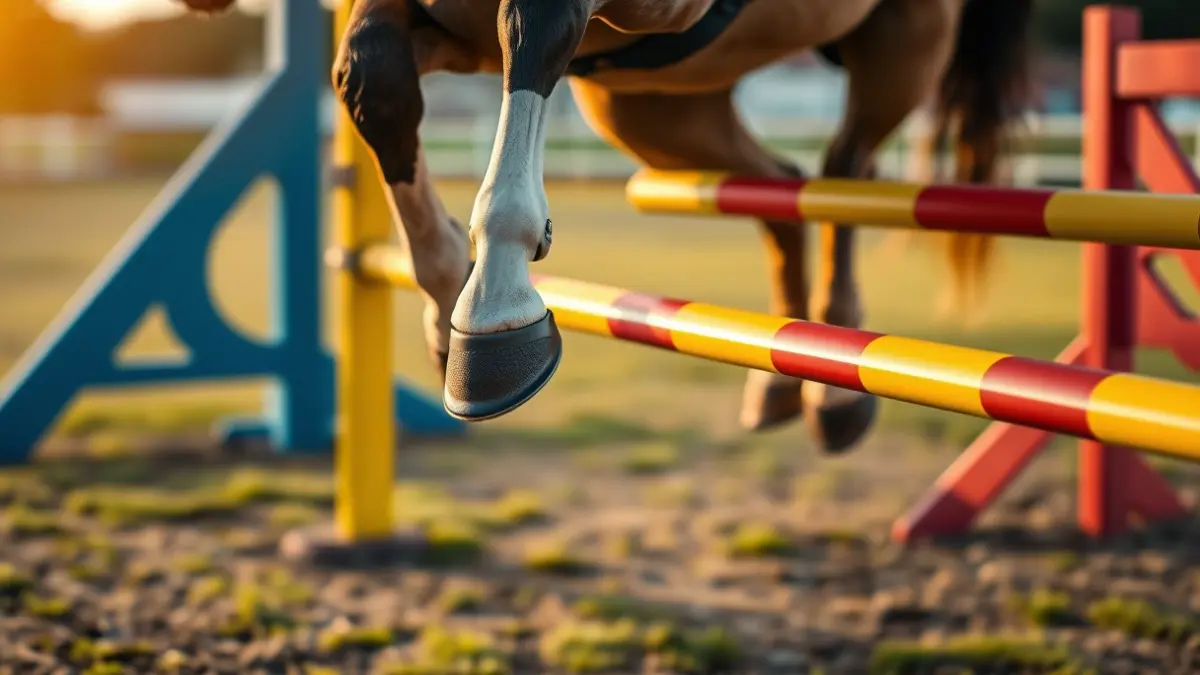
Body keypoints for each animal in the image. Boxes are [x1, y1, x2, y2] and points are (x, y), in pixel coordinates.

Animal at [179, 0, 1035, 454]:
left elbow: (529, 28)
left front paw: (490, 311)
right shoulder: (439, 26)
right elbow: (372, 80)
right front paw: (446, 299)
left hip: (904, 41)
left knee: (846, 170)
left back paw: (838, 398)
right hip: (659, 107)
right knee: (784, 189)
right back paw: (782, 382)